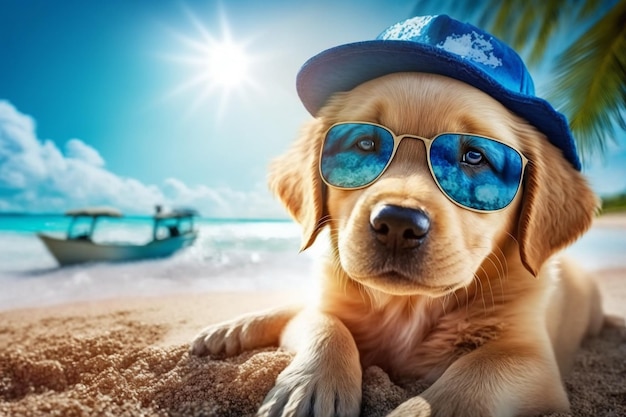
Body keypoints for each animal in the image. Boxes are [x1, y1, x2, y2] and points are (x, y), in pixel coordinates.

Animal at [190, 72, 600, 416]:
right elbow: (324, 322)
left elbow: (477, 375)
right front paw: (309, 390)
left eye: (474, 156)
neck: (407, 308)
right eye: (365, 143)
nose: (398, 224)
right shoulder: (331, 299)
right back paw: (230, 330)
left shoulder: (529, 353)